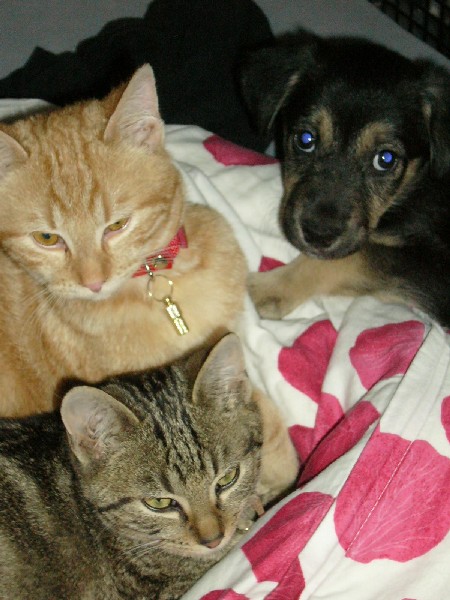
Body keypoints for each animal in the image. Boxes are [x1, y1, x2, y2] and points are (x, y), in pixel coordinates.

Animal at [240, 30, 450, 326]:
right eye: (306, 140)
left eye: (385, 159)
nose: (318, 235)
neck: (413, 187)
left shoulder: (432, 267)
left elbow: (355, 257)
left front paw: (265, 290)